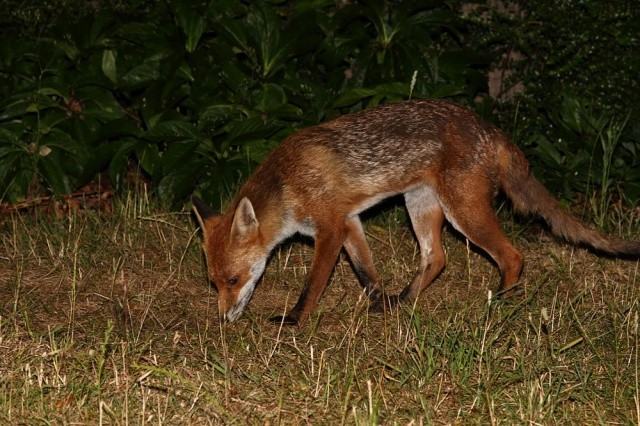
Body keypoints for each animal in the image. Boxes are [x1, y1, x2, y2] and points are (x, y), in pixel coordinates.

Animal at [191, 99, 640, 326]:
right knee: (436, 258)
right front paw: (379, 305)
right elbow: (367, 273)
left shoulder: (329, 228)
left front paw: (295, 319)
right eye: (214, 283)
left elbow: (314, 284)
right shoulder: (349, 221)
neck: (287, 183)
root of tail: (492, 129)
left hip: (463, 211)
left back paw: (497, 305)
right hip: (420, 204)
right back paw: (404, 301)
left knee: (513, 256)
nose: (223, 320)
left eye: (233, 280)